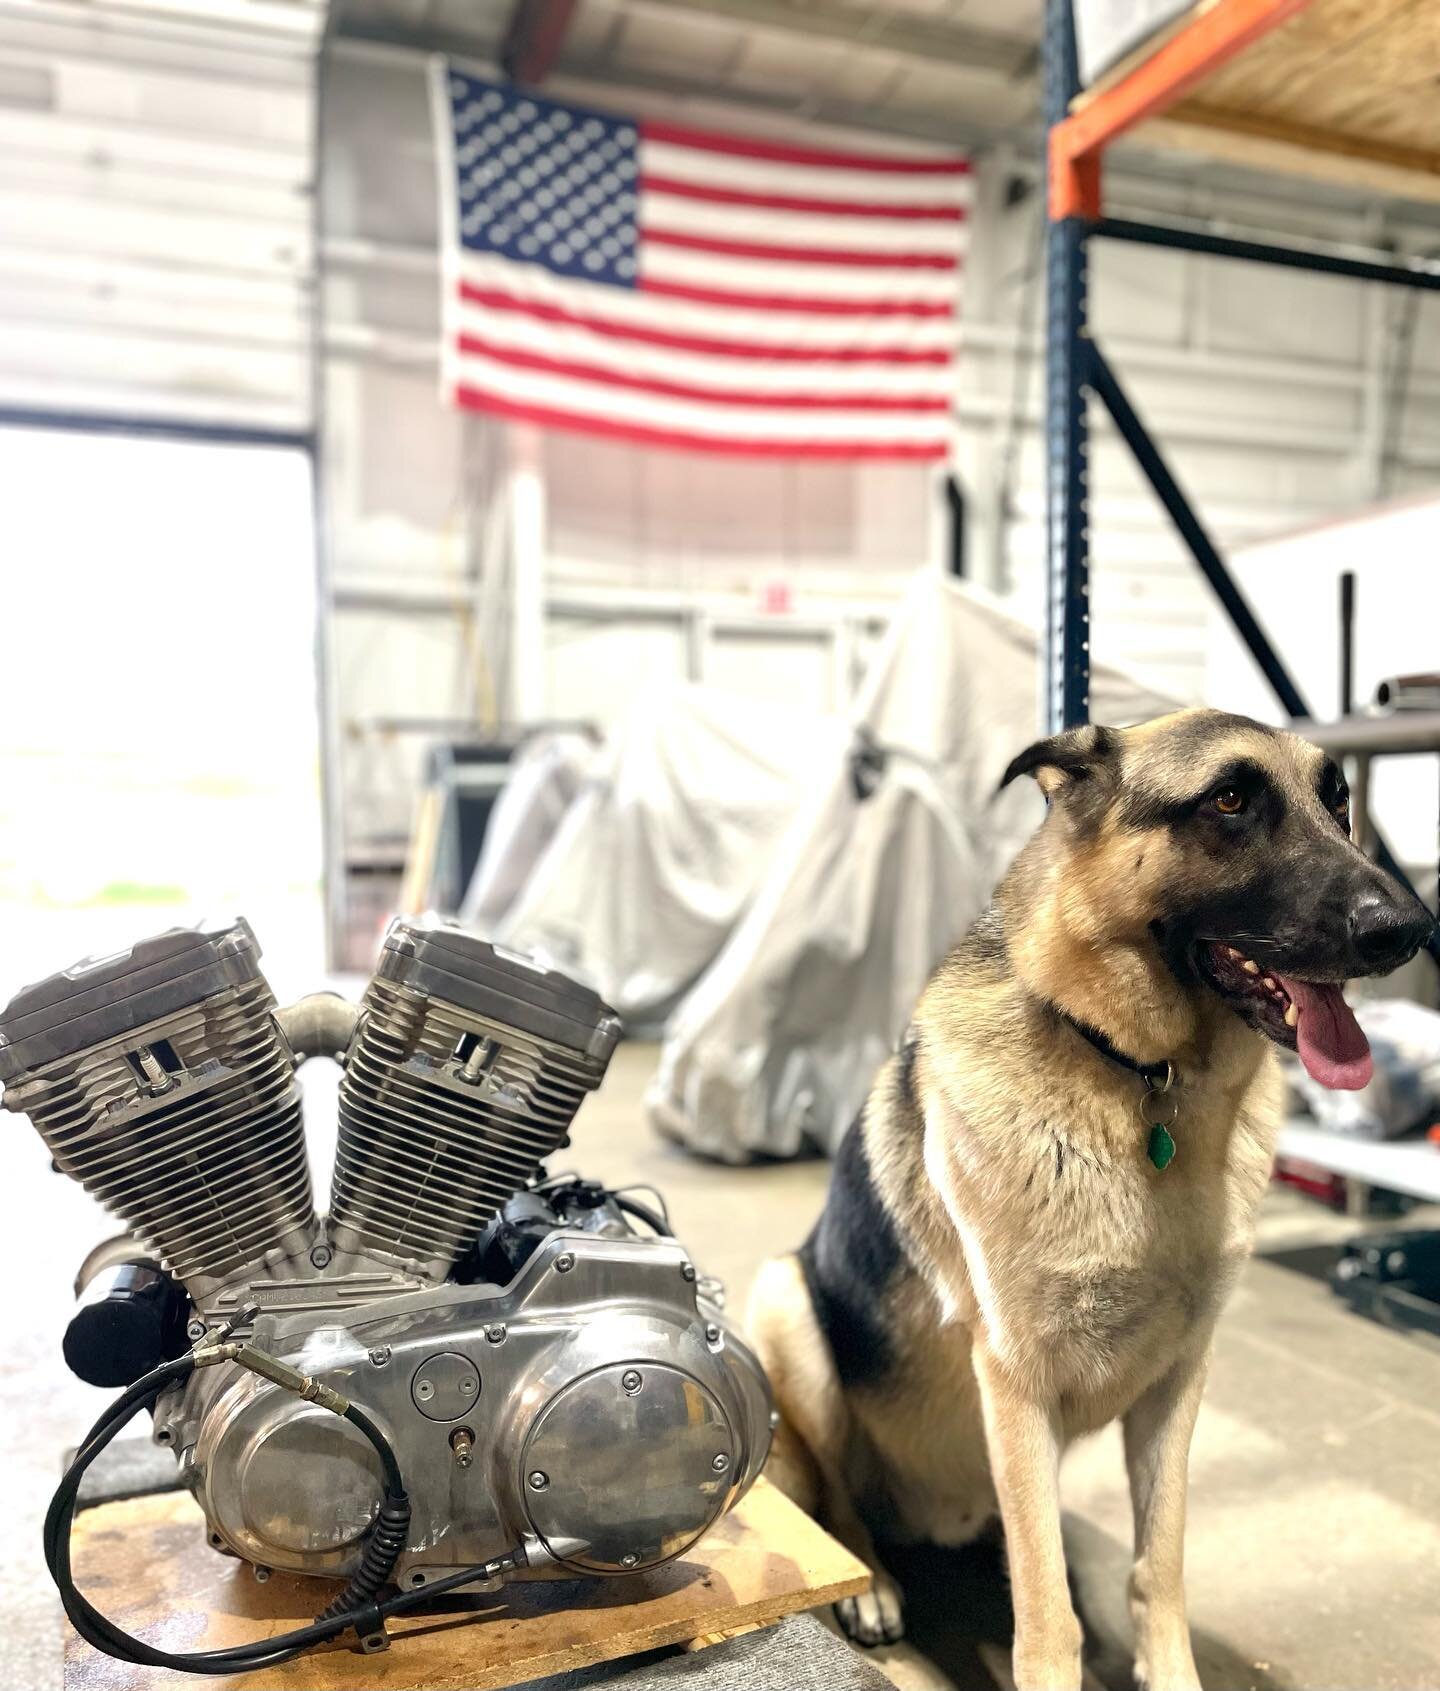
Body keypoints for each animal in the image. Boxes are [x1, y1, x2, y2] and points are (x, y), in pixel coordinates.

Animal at [747, 710, 1433, 1691]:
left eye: (1336, 799)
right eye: (1230, 799)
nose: (1411, 927)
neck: (1141, 1079)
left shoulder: (1178, 1382)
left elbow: (1159, 1564)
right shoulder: (1016, 1382)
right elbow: (1048, 1617)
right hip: (786, 1302)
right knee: (842, 1506)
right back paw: (872, 1582)